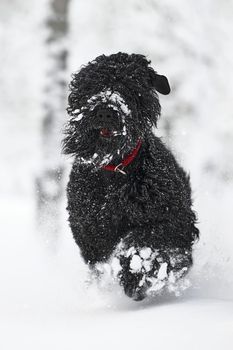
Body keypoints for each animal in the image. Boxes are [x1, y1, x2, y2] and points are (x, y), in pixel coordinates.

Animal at [62, 52, 199, 300]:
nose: (105, 111)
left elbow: (145, 238)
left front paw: (136, 273)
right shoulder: (91, 233)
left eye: (129, 85)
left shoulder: (175, 219)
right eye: (90, 84)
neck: (115, 172)